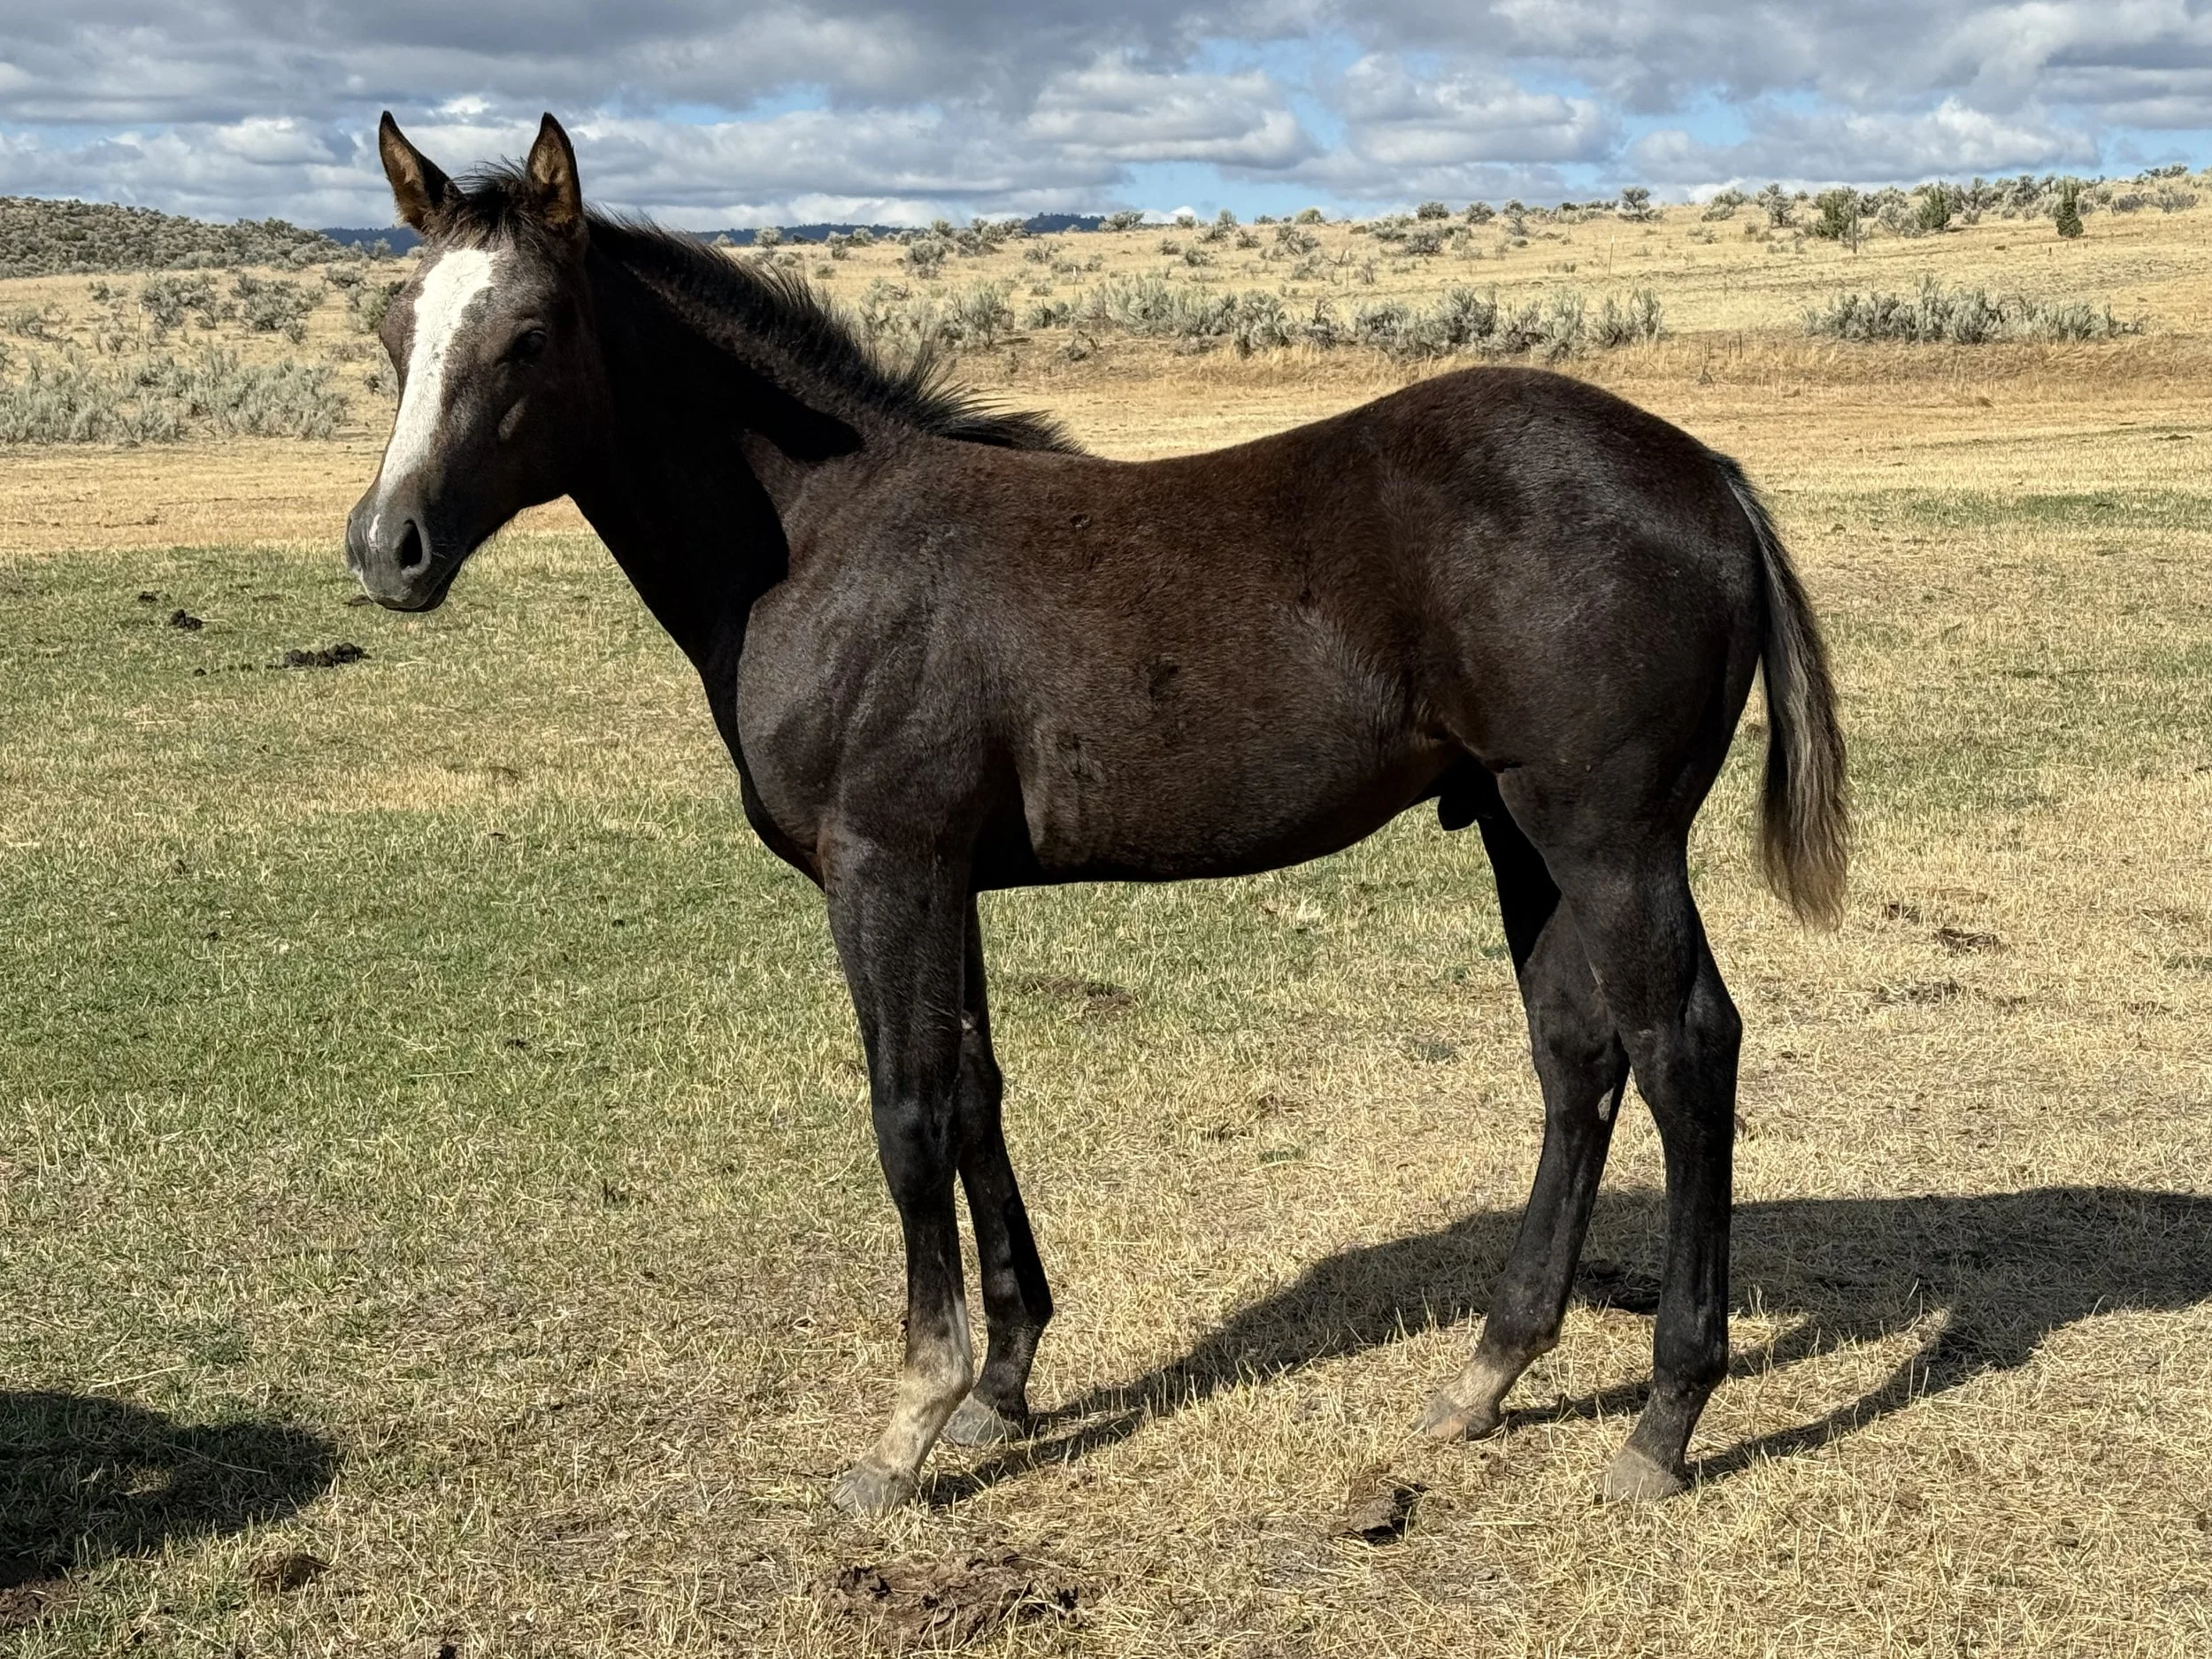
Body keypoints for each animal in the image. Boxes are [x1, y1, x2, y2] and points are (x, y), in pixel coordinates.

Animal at [345, 113, 1847, 1515]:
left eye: (530, 335)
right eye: (393, 328)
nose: (385, 548)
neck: (820, 539)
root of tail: (1706, 473)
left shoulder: (882, 864)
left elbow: (907, 1111)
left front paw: (907, 1422)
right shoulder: (946, 873)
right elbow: (975, 1094)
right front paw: (1003, 1380)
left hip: (1608, 835)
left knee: (1684, 1048)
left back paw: (1664, 1419)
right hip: (1518, 831)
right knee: (1577, 1057)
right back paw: (1485, 1373)